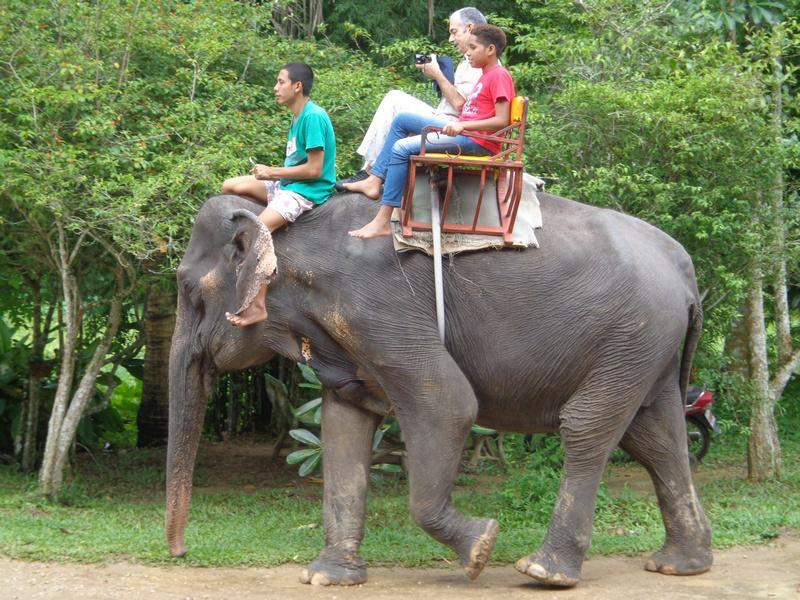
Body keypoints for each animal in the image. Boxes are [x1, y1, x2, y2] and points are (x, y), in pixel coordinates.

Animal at [165, 191, 713, 588]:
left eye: (190, 292)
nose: (180, 551)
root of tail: (684, 264)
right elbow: (342, 430)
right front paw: (327, 578)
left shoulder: (378, 309)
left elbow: (448, 403)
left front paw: (481, 548)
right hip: (647, 349)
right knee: (657, 437)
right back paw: (680, 564)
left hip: (631, 334)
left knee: (588, 428)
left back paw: (544, 571)